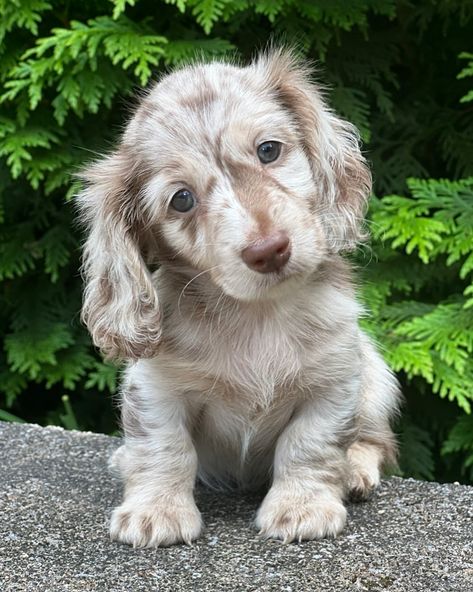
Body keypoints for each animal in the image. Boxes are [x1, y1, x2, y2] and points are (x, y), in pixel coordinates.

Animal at [76, 48, 398, 548]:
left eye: (268, 150)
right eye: (181, 199)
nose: (268, 250)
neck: (257, 316)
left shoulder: (334, 382)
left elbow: (310, 445)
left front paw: (301, 507)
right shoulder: (155, 389)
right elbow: (163, 448)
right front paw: (156, 511)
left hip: (377, 379)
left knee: (374, 439)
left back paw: (356, 470)